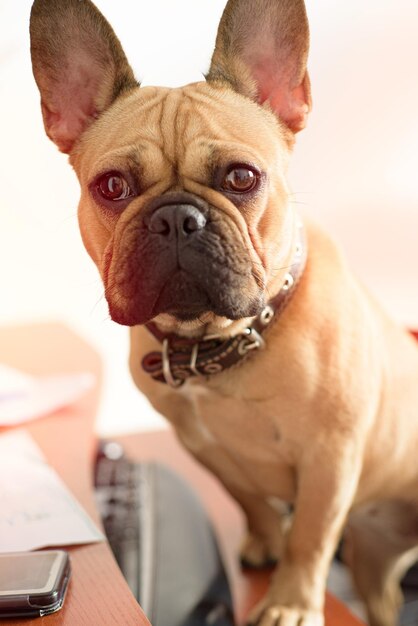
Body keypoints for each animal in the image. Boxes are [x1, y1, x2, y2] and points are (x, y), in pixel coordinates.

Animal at [31, 1, 418, 624]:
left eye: (241, 177)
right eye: (111, 187)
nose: (175, 218)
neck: (218, 343)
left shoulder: (330, 460)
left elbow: (310, 538)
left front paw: (289, 604)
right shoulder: (205, 449)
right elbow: (251, 500)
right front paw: (264, 540)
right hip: (373, 564)